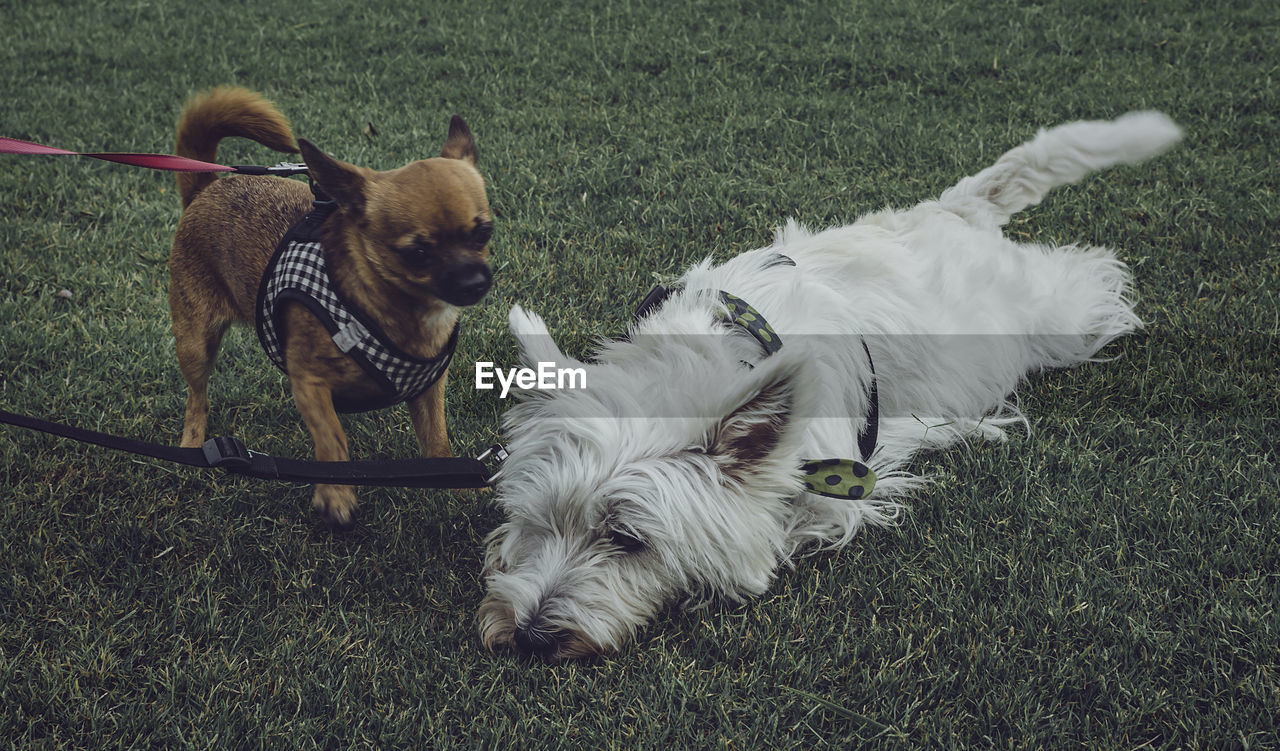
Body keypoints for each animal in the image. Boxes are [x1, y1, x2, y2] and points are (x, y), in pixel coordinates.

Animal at [170, 85, 488, 527]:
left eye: (484, 233)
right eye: (418, 253)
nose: (476, 281)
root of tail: (207, 187)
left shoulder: (428, 392)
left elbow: (438, 443)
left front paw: (459, 487)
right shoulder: (310, 383)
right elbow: (332, 439)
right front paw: (335, 493)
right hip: (196, 343)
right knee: (196, 397)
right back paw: (192, 444)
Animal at [478, 110, 1177, 660]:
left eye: (627, 540)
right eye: (535, 518)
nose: (529, 637)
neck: (721, 350)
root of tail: (952, 211)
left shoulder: (839, 492)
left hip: (1053, 316)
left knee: (1091, 271)